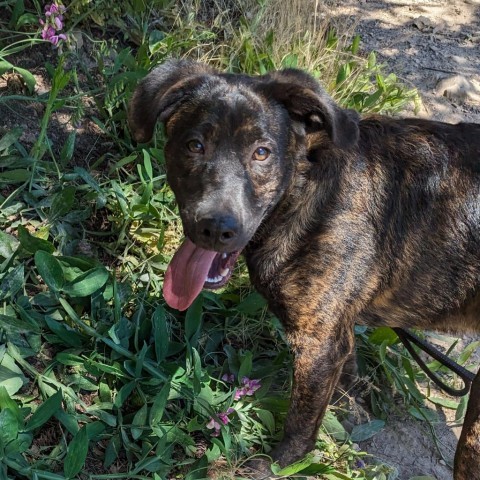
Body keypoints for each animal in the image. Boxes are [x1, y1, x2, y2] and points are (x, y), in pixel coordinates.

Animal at [128, 59, 480, 476]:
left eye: (262, 153)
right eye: (194, 145)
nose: (216, 228)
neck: (306, 187)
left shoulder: (316, 346)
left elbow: (300, 426)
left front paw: (272, 466)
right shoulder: (335, 336)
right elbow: (346, 371)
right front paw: (350, 401)